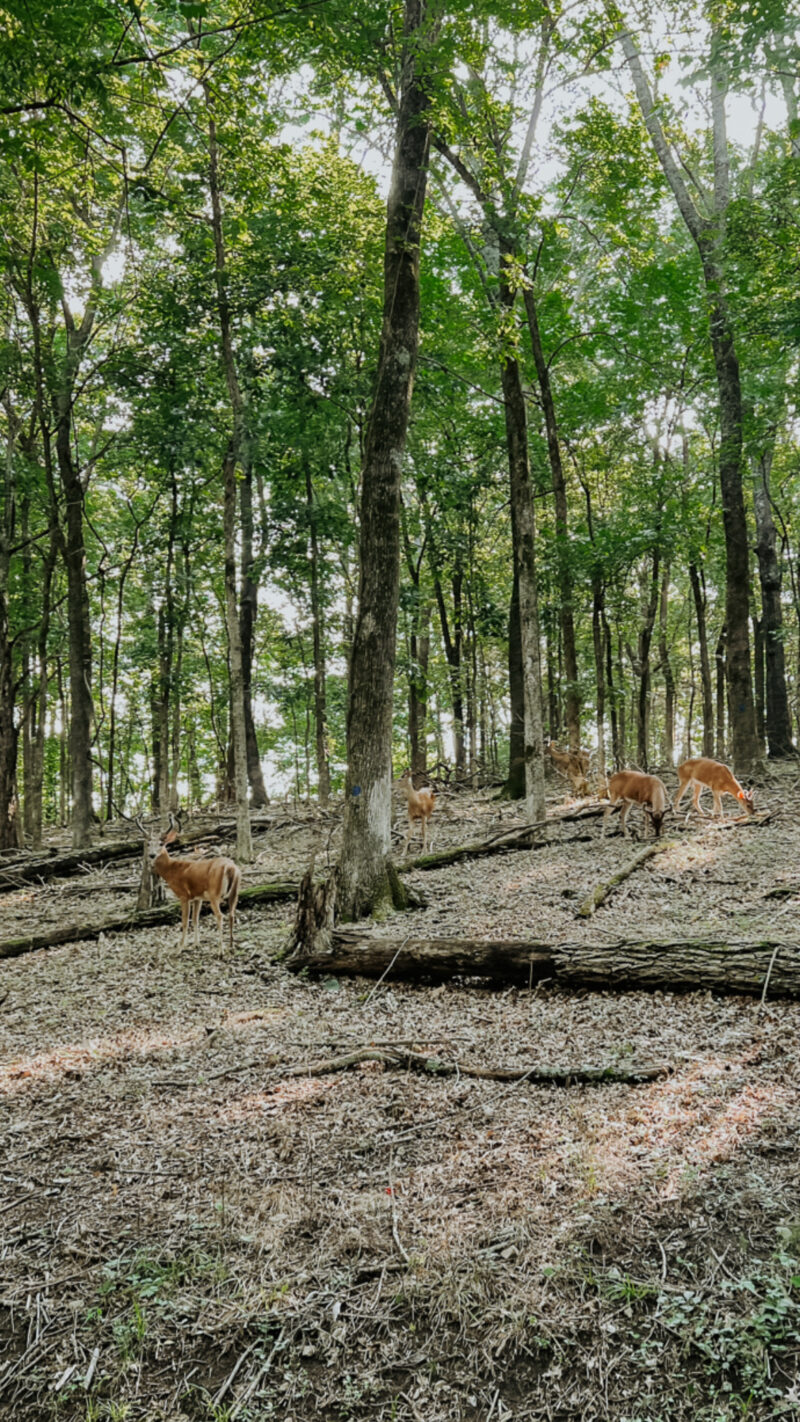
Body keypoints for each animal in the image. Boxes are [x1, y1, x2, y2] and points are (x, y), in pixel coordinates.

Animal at [142, 819, 241, 949]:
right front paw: (196, 943)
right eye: (148, 844)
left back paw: (220, 949)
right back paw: (231, 945)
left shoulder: (184, 895)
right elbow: (195, 919)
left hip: (214, 893)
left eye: (161, 843)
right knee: (231, 914)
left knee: (220, 916)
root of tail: (230, 868)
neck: (171, 870)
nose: (152, 855)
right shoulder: (197, 897)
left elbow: (185, 921)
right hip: (235, 891)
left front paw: (180, 946)